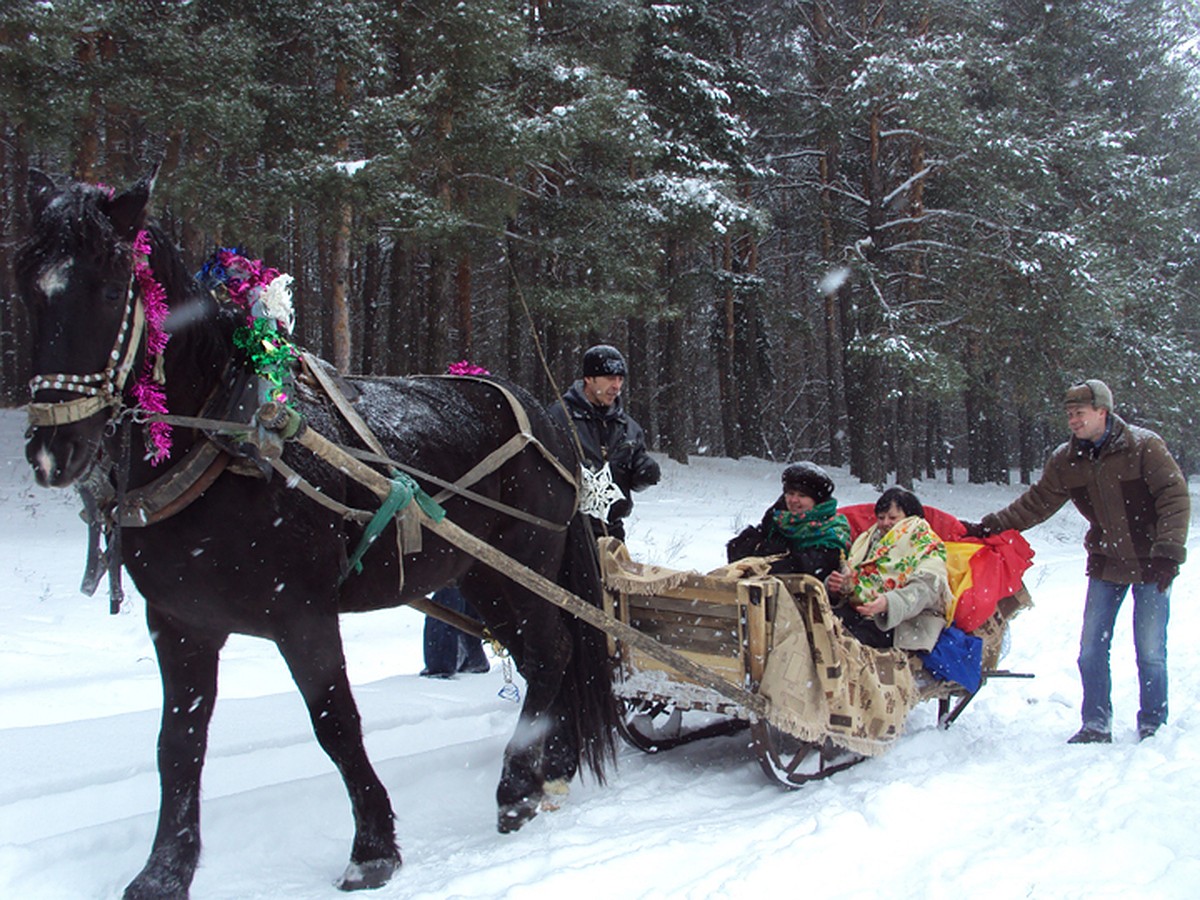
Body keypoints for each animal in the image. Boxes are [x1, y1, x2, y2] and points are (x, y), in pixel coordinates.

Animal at [16, 172, 619, 897]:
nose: (52, 450)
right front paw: (164, 871)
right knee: (545, 658)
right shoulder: (180, 622)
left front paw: (373, 848)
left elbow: (336, 723)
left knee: (553, 652)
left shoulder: (301, 614)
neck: (228, 435)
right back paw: (549, 767)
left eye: (110, 289)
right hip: (482, 577)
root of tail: (543, 417)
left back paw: (516, 787)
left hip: (520, 564)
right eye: (25, 286)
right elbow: (178, 746)